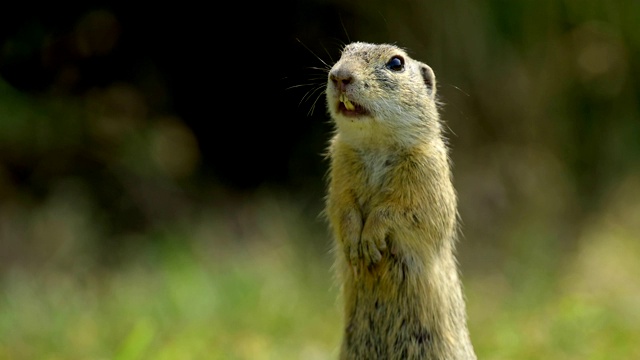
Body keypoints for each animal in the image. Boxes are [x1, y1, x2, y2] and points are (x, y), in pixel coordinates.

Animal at [324, 40, 476, 358]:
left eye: (396, 63)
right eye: (344, 52)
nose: (340, 76)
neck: (376, 145)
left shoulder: (427, 175)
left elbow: (406, 213)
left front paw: (370, 239)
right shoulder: (340, 170)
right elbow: (341, 208)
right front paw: (354, 242)